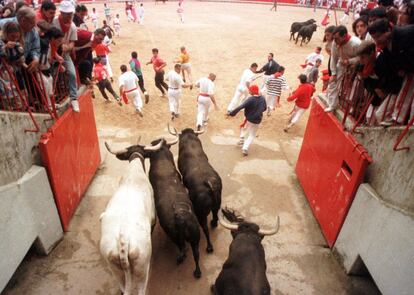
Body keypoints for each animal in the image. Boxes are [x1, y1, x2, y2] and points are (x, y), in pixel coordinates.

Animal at [98, 140, 162, 295]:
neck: (133, 174)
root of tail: (123, 240)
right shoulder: (153, 218)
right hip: (142, 267)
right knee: (141, 288)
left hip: (114, 267)